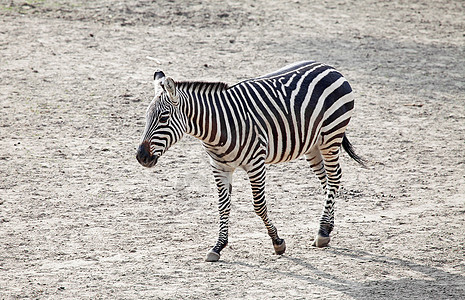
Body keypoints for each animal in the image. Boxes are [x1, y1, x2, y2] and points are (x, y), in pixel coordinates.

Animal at [134, 60, 362, 260]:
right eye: (145, 117)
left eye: (163, 118)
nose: (141, 157)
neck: (218, 127)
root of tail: (329, 67)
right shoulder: (219, 167)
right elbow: (223, 205)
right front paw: (218, 246)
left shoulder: (256, 164)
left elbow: (259, 205)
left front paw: (277, 242)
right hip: (312, 144)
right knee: (326, 179)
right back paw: (327, 227)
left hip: (331, 136)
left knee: (334, 177)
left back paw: (322, 231)